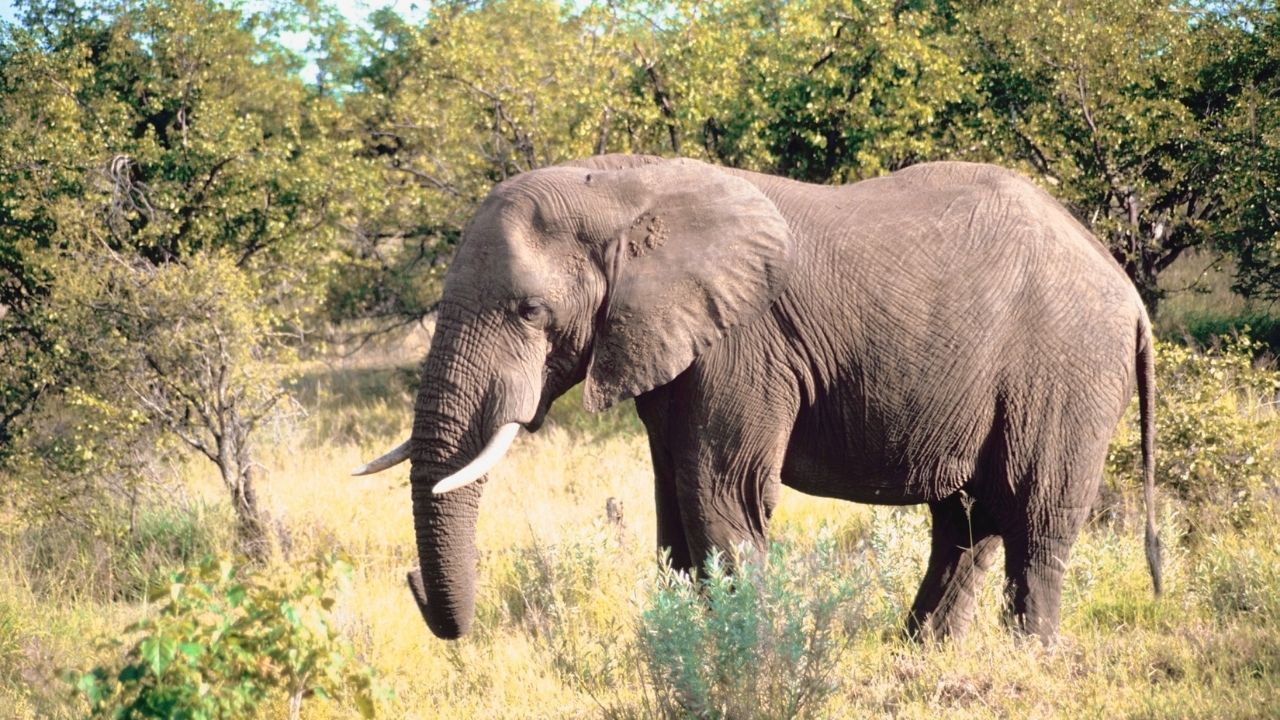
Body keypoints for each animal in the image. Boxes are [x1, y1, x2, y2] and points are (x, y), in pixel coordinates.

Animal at [354, 154, 1161, 643]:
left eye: (528, 311)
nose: (414, 588)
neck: (621, 187)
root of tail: (1129, 293)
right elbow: (675, 507)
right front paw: (695, 645)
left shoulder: (744, 345)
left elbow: (724, 495)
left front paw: (747, 651)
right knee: (967, 521)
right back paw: (920, 652)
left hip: (1066, 369)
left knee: (1035, 515)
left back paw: (1029, 657)